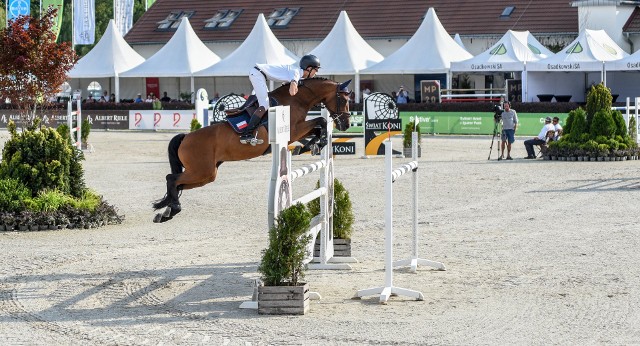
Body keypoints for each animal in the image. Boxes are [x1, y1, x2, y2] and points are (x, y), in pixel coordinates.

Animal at [152, 77, 352, 223]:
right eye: (343, 99)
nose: (346, 124)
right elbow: (321, 121)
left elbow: (318, 126)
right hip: (201, 170)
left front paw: (313, 145)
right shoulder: (293, 131)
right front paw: (314, 144)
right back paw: (172, 210)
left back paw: (166, 211)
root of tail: (186, 137)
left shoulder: (298, 130)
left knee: (177, 184)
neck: (296, 99)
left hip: (206, 174)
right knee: (171, 179)